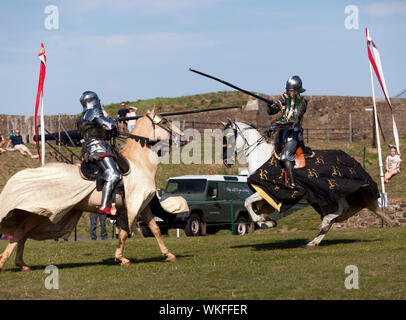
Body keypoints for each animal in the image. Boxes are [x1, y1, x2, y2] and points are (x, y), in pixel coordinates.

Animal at [0, 109, 184, 270]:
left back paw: (21, 264)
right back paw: (5, 262)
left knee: (23, 232)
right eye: (164, 122)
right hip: (40, 212)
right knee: (21, 231)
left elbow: (155, 229)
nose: (182, 138)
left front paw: (168, 255)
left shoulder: (142, 204)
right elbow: (125, 232)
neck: (139, 163)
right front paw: (122, 258)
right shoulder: (133, 205)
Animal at [222, 120, 396, 248]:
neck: (261, 156)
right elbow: (249, 203)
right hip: (321, 199)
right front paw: (266, 220)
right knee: (334, 217)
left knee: (342, 209)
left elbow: (247, 202)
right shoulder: (265, 192)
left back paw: (323, 225)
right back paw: (314, 241)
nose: (226, 161)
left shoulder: (272, 191)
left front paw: (263, 223)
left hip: (334, 191)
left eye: (229, 137)